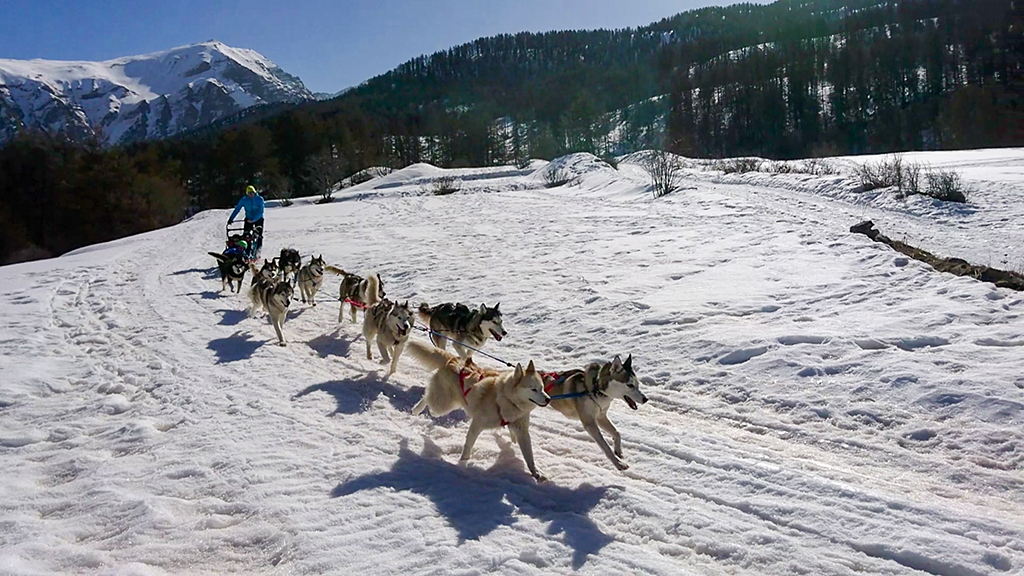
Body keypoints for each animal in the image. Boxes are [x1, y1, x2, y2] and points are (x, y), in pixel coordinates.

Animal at [407, 336, 552, 479]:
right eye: (533, 389)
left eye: (542, 388)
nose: (548, 399)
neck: (506, 400)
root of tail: (452, 360)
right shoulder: (477, 424)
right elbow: (468, 446)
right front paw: (462, 464)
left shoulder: (522, 431)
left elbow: (529, 456)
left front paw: (537, 473)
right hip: (442, 406)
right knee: (427, 398)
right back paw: (416, 410)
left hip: (454, 403)